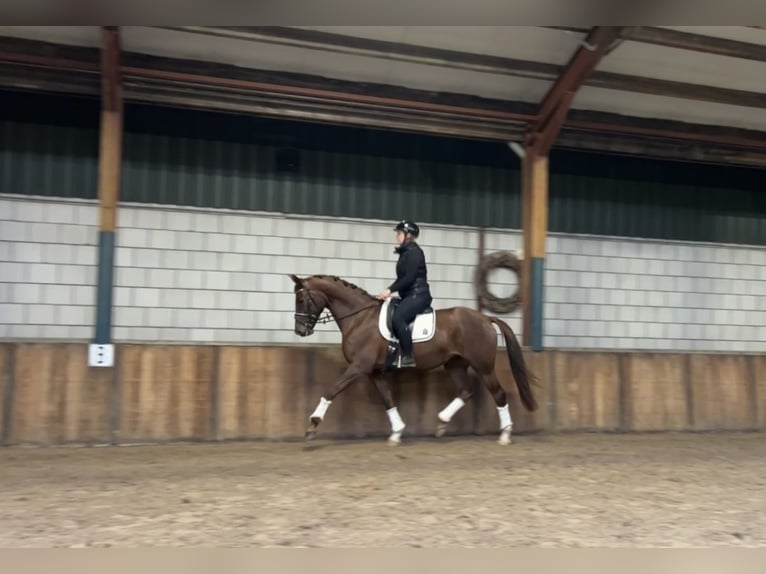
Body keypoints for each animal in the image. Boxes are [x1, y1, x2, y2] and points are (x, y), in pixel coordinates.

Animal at [290, 274, 540, 446]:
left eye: (302, 299)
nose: (300, 331)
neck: (360, 317)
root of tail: (485, 318)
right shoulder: (374, 372)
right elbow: (388, 399)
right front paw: (397, 432)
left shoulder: (359, 367)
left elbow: (331, 391)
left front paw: (312, 425)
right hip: (455, 364)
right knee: (466, 391)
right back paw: (441, 422)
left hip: (484, 367)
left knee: (499, 394)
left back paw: (505, 434)